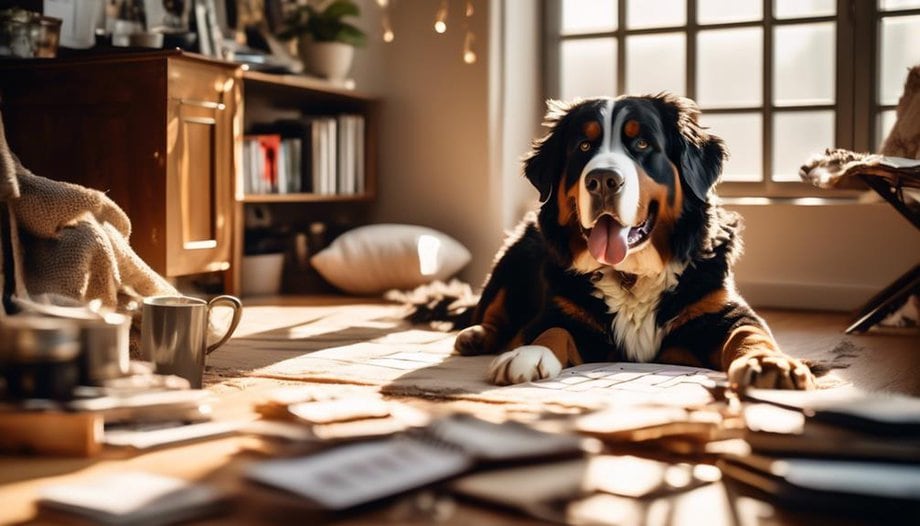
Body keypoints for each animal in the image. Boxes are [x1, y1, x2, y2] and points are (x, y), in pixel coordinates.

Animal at [456, 94, 816, 392]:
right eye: (583, 147)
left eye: (642, 143)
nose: (602, 179)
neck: (631, 273)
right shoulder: (564, 313)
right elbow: (551, 331)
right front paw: (528, 355)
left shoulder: (721, 311)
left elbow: (749, 333)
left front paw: (768, 363)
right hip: (510, 262)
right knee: (488, 312)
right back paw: (476, 335)